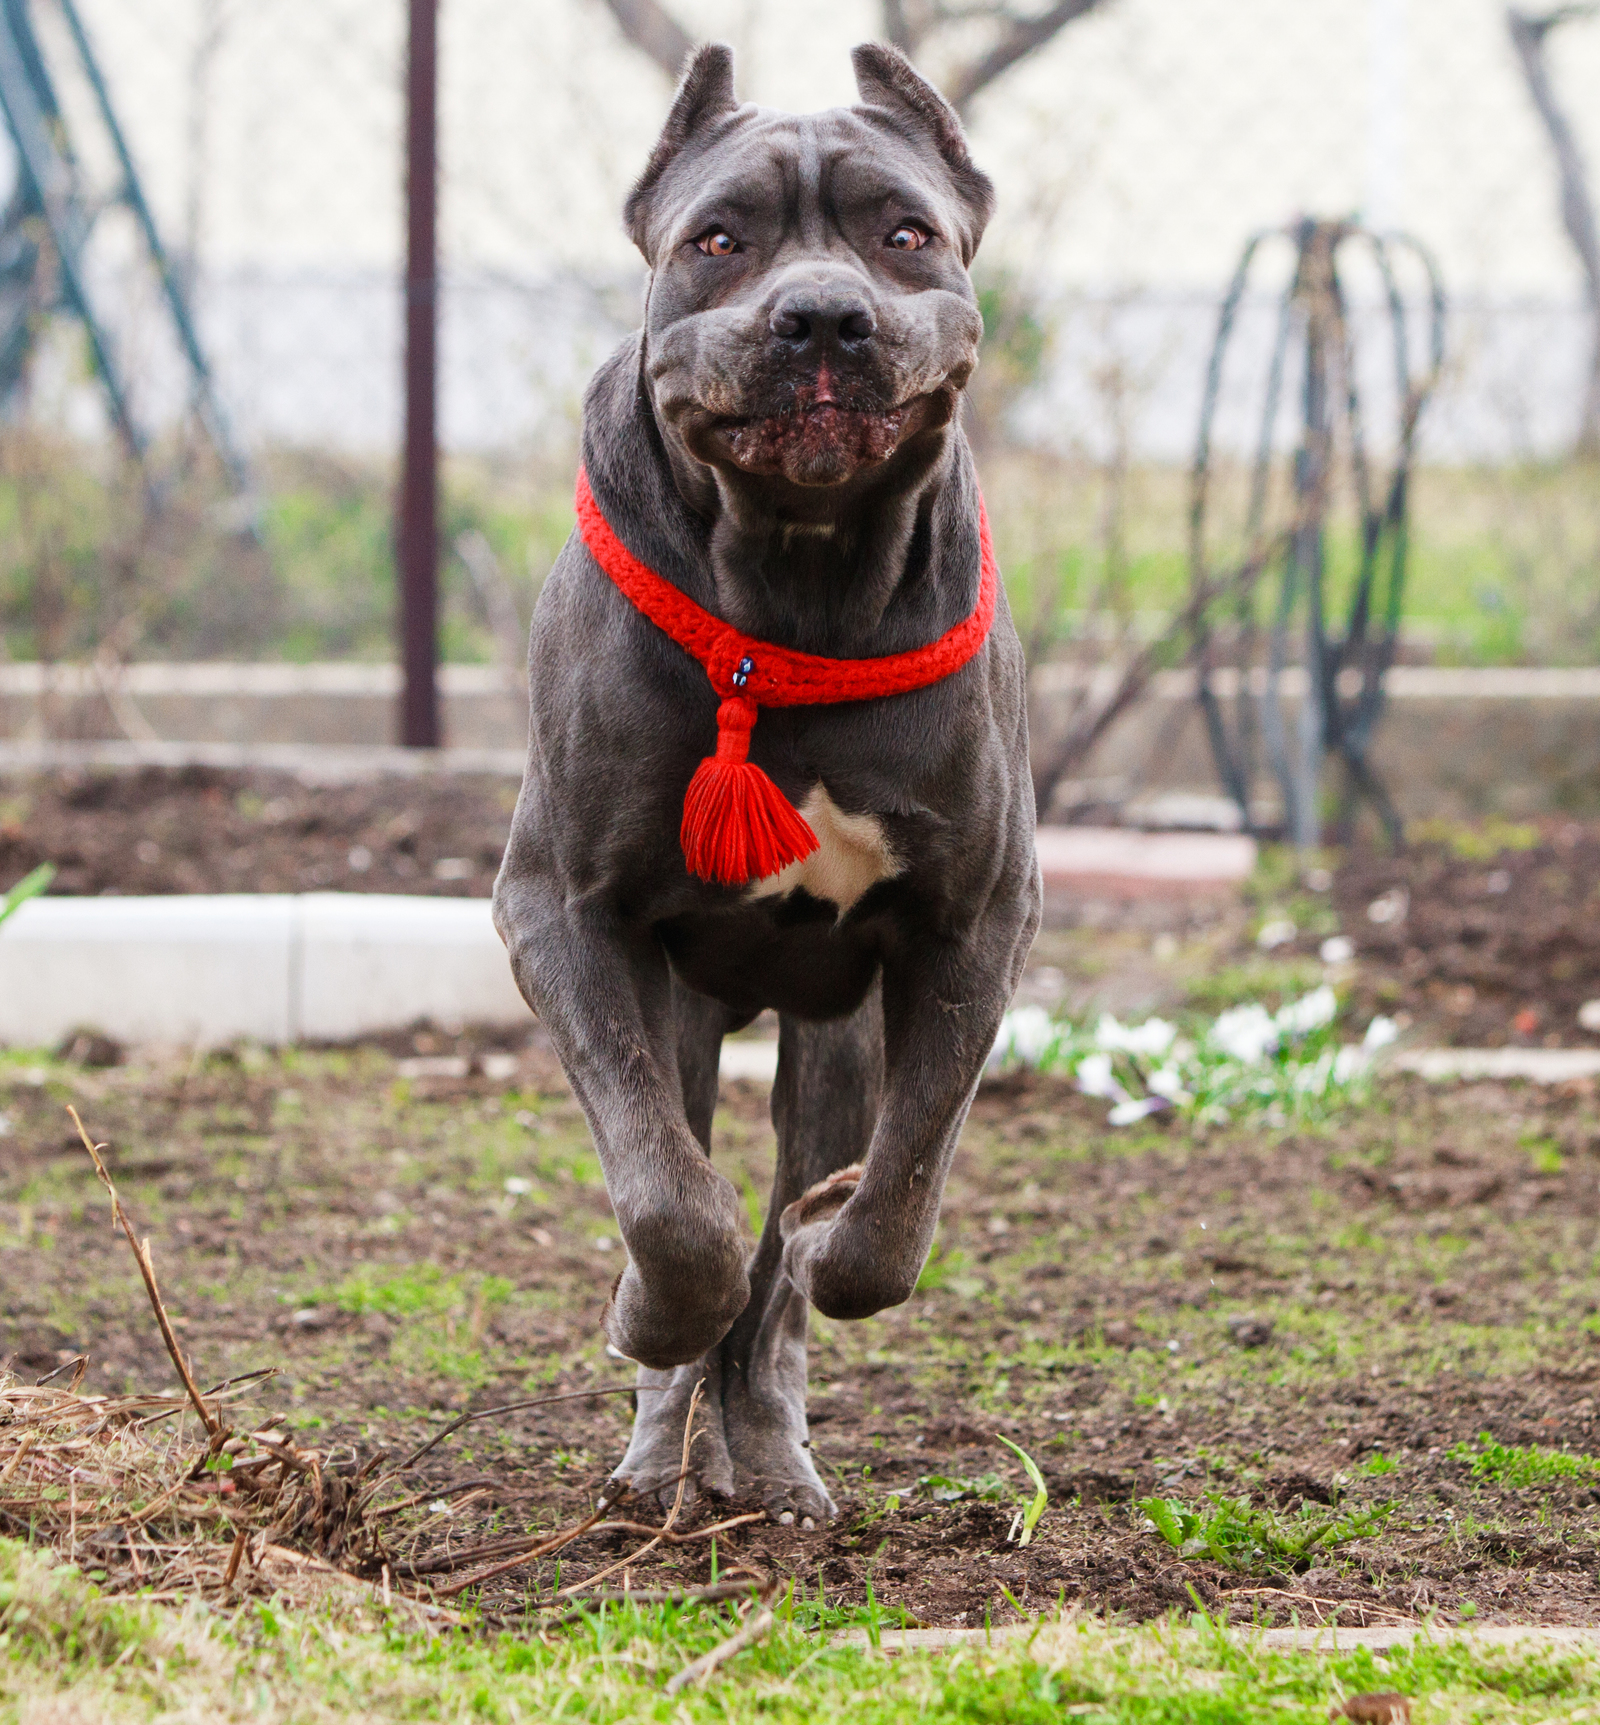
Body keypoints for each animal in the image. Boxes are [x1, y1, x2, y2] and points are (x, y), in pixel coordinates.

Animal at [489, 40, 1034, 1524]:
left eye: (904, 236)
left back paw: (771, 1457)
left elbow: (891, 1203)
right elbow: (671, 1208)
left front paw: (833, 1229)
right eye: (717, 242)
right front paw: (651, 1314)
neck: (799, 576)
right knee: (683, 1184)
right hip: (673, 1006)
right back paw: (664, 1444)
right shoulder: (562, 912)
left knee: (781, 1283)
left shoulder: (972, 926)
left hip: (830, 1037)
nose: (823, 318)